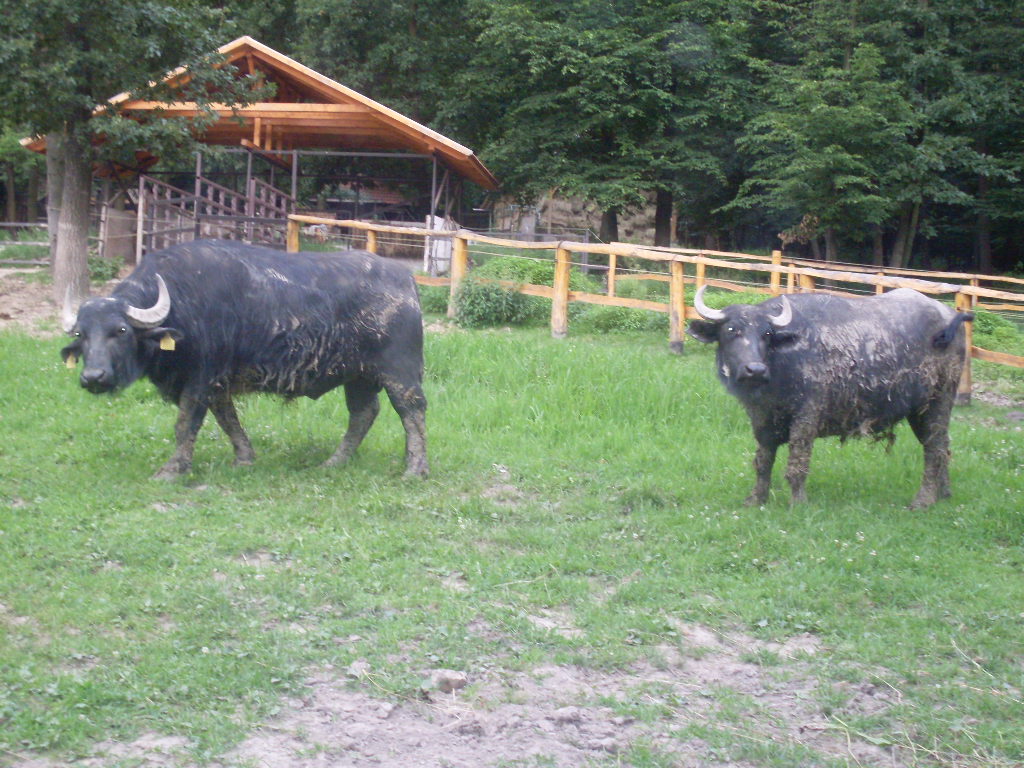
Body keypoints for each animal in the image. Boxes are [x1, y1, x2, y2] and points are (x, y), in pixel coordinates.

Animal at [61, 239, 428, 478]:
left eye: (121, 330)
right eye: (81, 334)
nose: (93, 378)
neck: (181, 303)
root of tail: (407, 283)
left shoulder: (200, 379)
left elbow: (185, 423)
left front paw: (172, 469)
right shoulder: (218, 383)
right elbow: (227, 419)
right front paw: (244, 458)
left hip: (400, 373)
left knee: (412, 412)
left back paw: (414, 469)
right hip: (359, 376)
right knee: (363, 414)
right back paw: (334, 462)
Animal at [686, 286, 972, 508]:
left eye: (766, 334)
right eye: (731, 330)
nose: (755, 369)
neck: (780, 367)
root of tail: (947, 315)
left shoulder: (806, 415)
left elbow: (798, 463)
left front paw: (798, 502)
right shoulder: (762, 419)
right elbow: (763, 461)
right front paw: (756, 499)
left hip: (939, 401)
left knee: (934, 450)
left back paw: (923, 500)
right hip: (918, 410)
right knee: (942, 446)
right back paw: (944, 494)